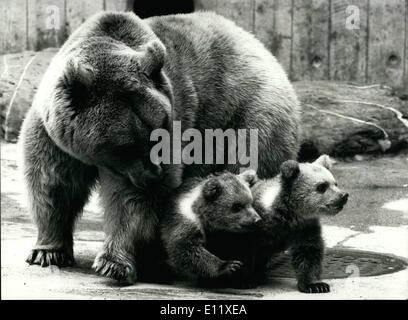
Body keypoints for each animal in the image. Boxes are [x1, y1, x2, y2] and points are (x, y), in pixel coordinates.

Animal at [19, 11, 300, 282]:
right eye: (125, 144)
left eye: (159, 133)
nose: (155, 175)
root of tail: (266, 52)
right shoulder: (54, 136)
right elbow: (53, 184)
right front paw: (48, 251)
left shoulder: (175, 123)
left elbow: (131, 203)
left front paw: (114, 263)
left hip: (249, 117)